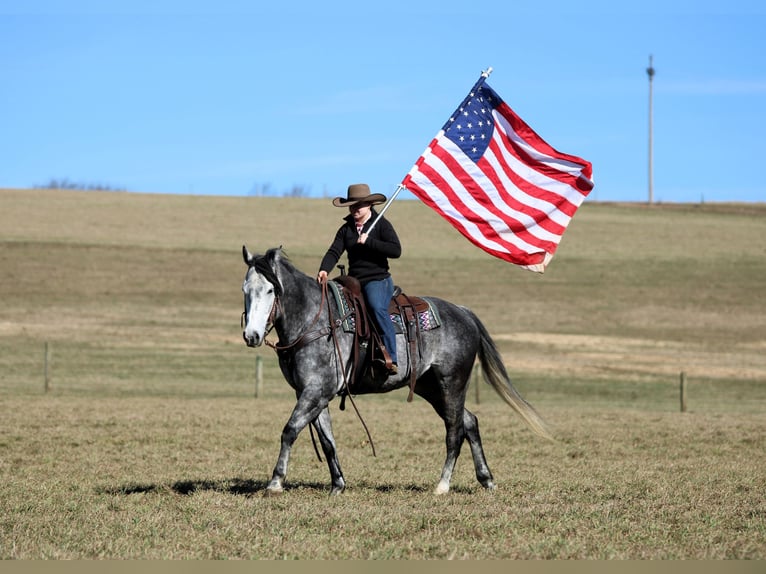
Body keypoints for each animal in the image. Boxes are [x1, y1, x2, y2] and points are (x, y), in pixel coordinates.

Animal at [241, 245, 552, 496]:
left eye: (270, 290)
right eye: (245, 290)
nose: (251, 335)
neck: (314, 322)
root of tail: (463, 312)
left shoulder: (316, 391)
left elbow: (290, 430)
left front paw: (275, 483)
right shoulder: (312, 394)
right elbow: (327, 440)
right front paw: (338, 485)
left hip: (452, 384)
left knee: (454, 431)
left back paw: (442, 485)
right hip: (432, 388)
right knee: (470, 422)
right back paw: (486, 480)